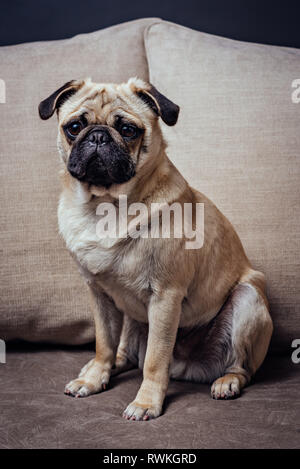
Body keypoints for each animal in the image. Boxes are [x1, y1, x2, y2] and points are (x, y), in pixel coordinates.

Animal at [38, 77, 274, 420]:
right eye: (74, 127)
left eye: (127, 130)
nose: (97, 135)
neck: (104, 206)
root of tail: (186, 367)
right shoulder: (99, 294)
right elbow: (103, 343)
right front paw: (94, 379)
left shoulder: (165, 297)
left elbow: (154, 359)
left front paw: (146, 402)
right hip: (132, 321)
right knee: (122, 351)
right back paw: (100, 368)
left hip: (248, 302)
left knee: (242, 368)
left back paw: (227, 382)